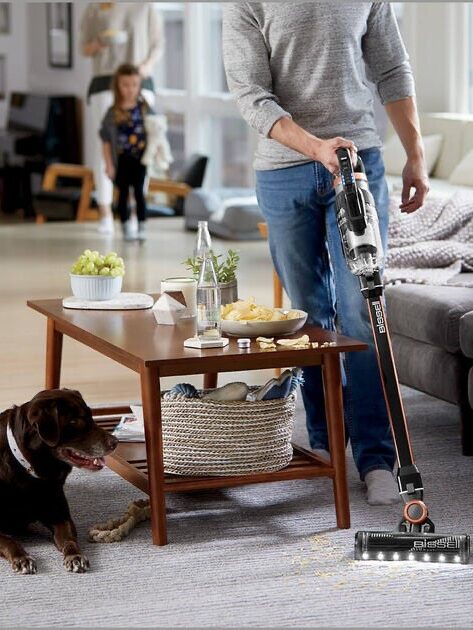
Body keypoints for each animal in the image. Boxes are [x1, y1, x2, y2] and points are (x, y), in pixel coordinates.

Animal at [0, 388, 117, 576]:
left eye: (91, 416)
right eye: (74, 421)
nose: (116, 442)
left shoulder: (60, 515)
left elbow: (69, 539)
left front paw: (75, 556)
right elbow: (10, 541)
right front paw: (22, 558)